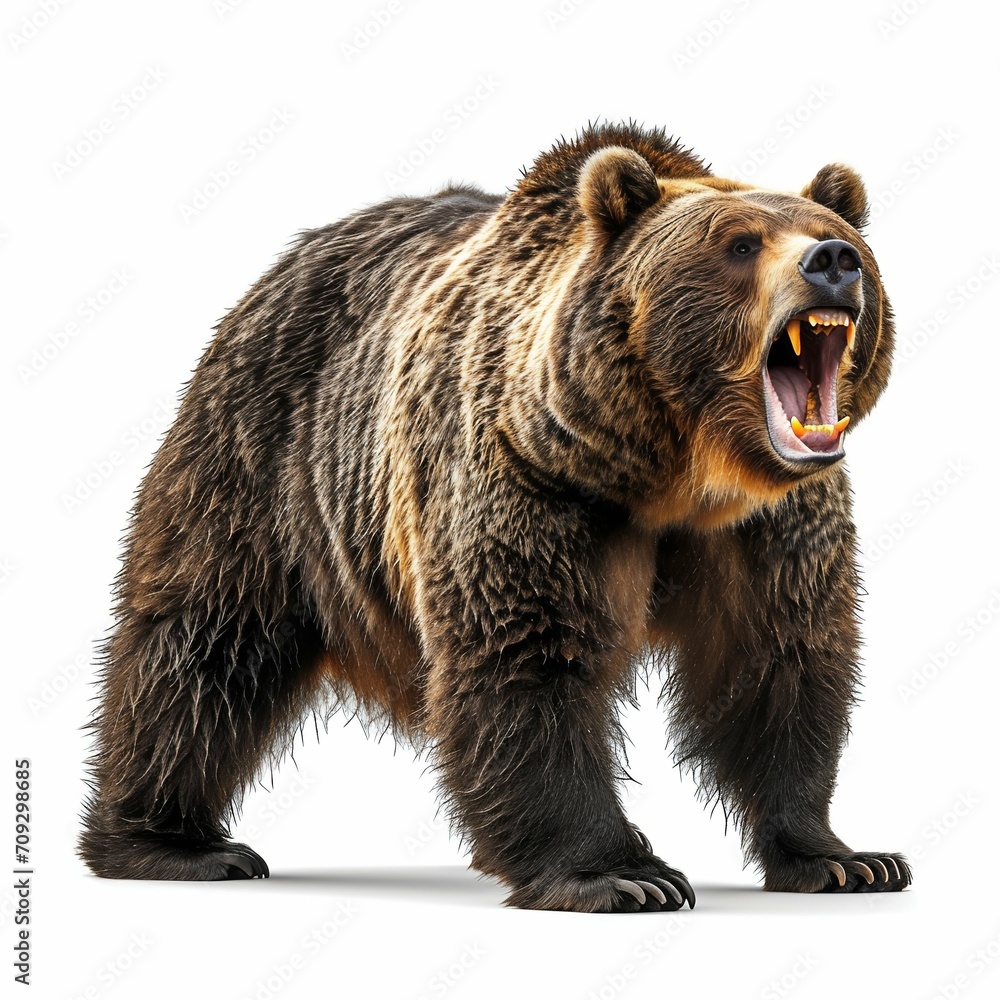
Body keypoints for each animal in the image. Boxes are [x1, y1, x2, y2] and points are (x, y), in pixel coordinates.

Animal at [79, 122, 910, 912]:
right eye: (739, 243)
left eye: (832, 229)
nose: (834, 260)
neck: (674, 474)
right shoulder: (530, 479)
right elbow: (528, 656)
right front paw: (620, 874)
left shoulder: (770, 526)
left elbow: (779, 662)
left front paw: (845, 858)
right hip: (263, 458)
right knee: (205, 642)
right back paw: (172, 843)